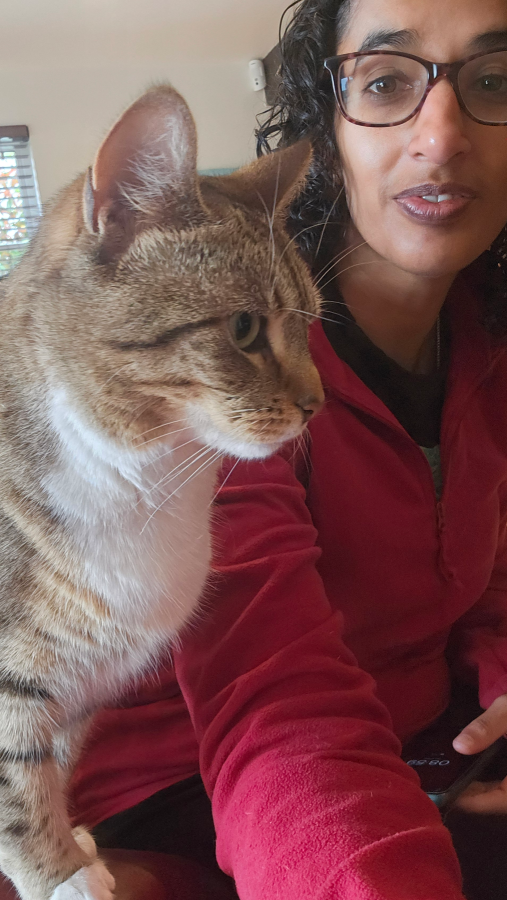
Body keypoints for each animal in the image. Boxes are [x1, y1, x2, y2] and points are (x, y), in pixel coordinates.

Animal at [0, 85, 323, 900]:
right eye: (243, 328)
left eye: (310, 323)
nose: (318, 404)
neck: (148, 482)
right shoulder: (14, 686)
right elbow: (16, 791)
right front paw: (60, 877)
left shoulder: (77, 688)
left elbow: (50, 769)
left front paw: (74, 846)